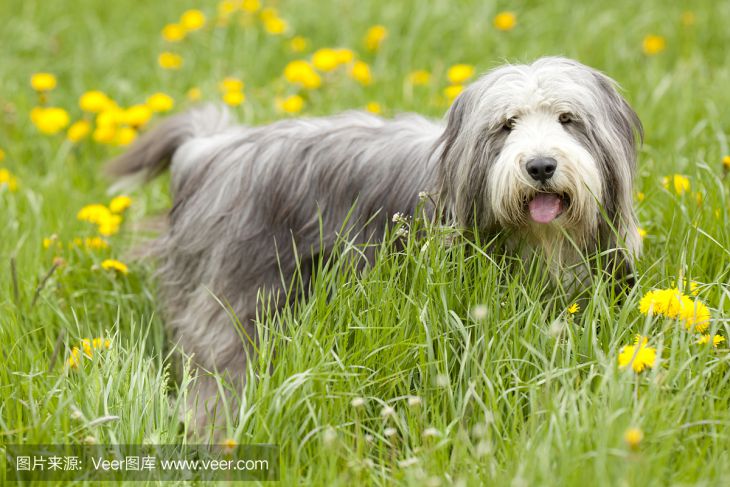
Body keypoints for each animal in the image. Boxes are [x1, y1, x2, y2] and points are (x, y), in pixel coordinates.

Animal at [105, 55, 640, 432]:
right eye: (506, 125)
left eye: (568, 119)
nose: (540, 166)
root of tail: (213, 152)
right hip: (238, 294)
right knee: (218, 368)